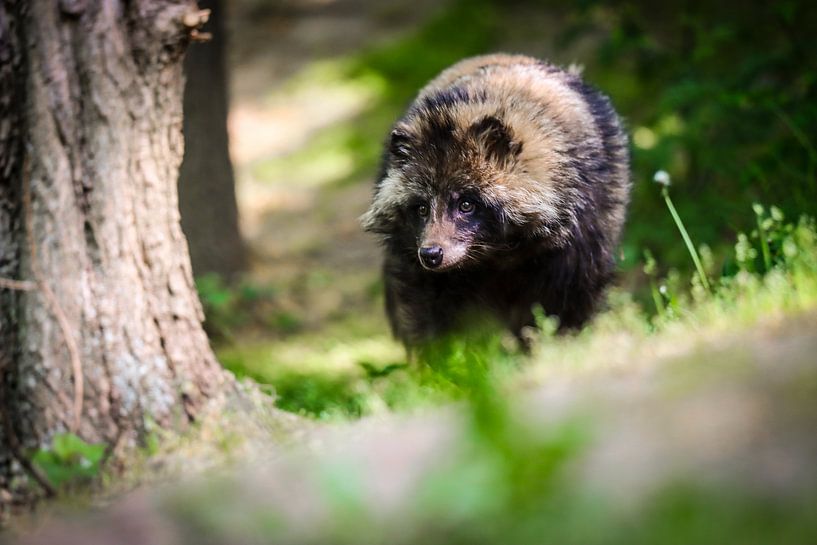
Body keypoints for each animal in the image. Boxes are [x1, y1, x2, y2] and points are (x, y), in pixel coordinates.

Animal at [362, 53, 632, 346]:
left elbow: (566, 307)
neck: (498, 253)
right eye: (421, 208)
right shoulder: (424, 277)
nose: (431, 254)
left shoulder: (577, 253)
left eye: (466, 204)